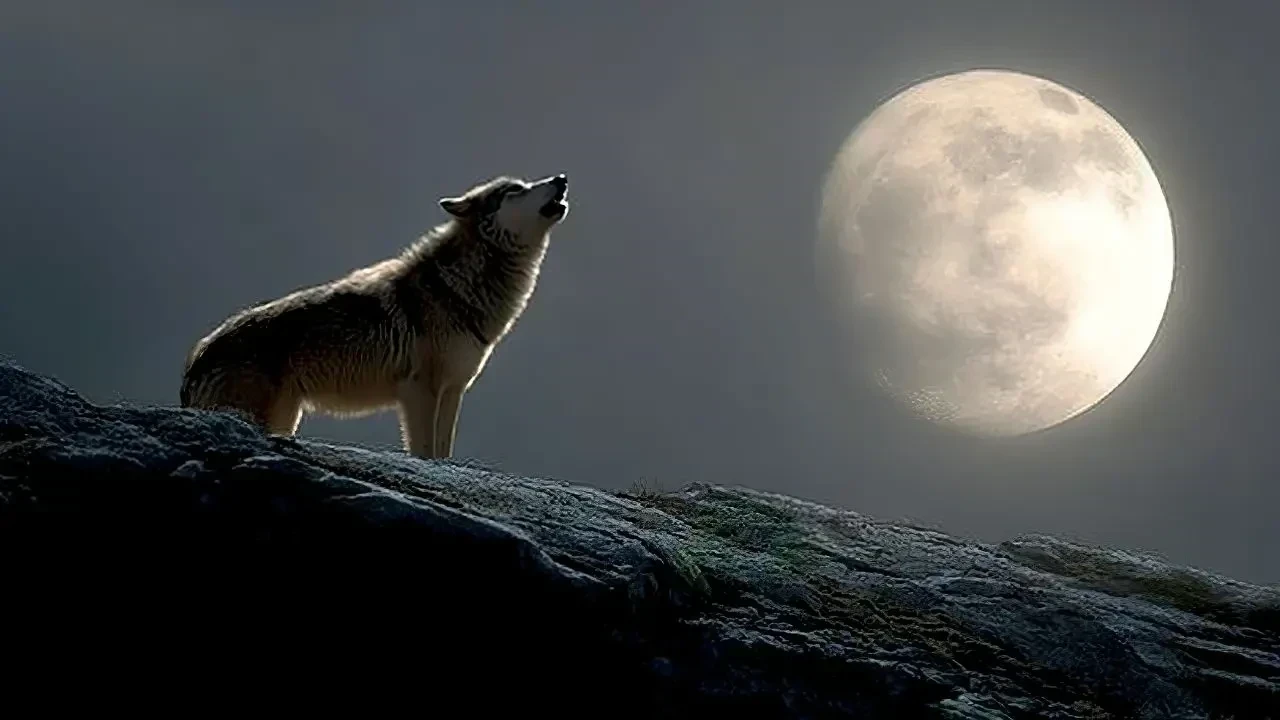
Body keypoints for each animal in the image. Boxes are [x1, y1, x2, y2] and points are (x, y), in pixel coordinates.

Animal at [180, 173, 570, 459]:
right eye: (515, 190)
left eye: (523, 184)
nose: (562, 177)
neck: (457, 288)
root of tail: (195, 360)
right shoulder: (419, 391)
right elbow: (424, 454)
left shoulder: (452, 391)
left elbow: (443, 455)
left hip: (286, 419)